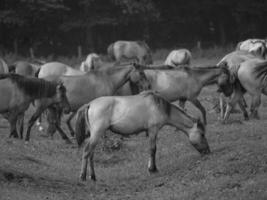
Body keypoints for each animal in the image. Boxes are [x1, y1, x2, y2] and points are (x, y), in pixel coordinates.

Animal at [75, 90, 211, 181]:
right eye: (202, 134)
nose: (208, 152)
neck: (160, 106)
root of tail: (90, 104)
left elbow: (151, 150)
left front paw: (151, 168)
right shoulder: (153, 130)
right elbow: (153, 149)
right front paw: (153, 169)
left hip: (95, 136)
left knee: (91, 154)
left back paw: (93, 177)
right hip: (96, 134)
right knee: (86, 151)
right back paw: (82, 176)